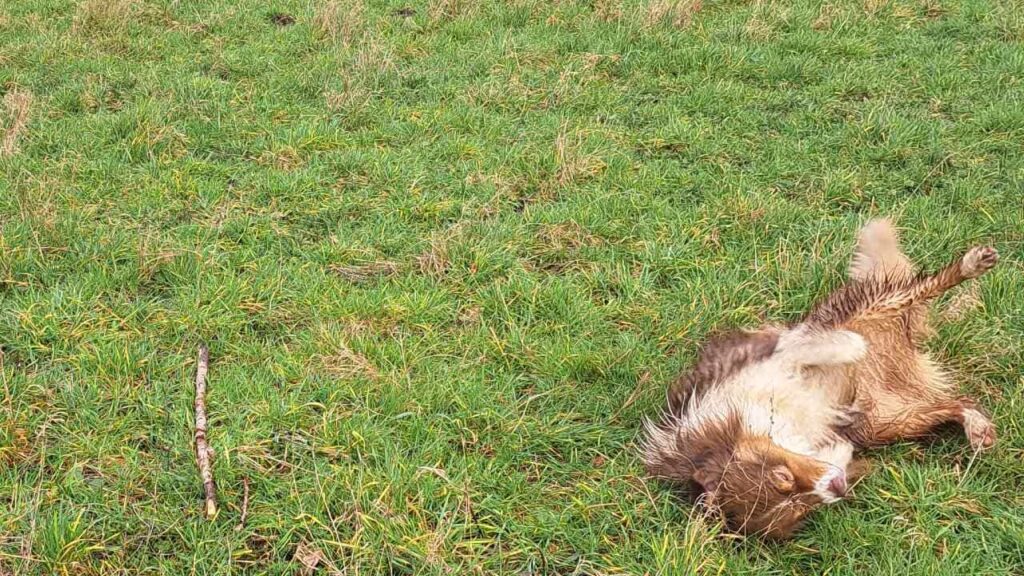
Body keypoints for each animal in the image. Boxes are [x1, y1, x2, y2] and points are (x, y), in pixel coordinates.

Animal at [643, 218, 995, 537]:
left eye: (782, 477)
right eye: (798, 510)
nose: (837, 488)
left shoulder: (776, 353)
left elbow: (812, 345)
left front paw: (853, 346)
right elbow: (839, 449)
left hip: (878, 307)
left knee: (928, 286)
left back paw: (972, 263)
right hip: (886, 422)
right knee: (958, 402)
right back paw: (978, 428)